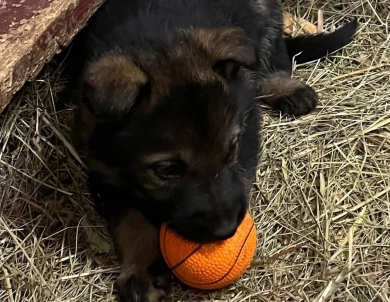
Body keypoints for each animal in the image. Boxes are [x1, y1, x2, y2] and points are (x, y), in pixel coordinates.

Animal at [63, 0, 356, 300]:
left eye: (231, 149)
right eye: (167, 170)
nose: (227, 230)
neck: (159, 37)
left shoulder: (247, 126)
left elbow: (241, 174)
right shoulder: (105, 172)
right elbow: (130, 222)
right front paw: (142, 270)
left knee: (274, 51)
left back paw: (284, 85)